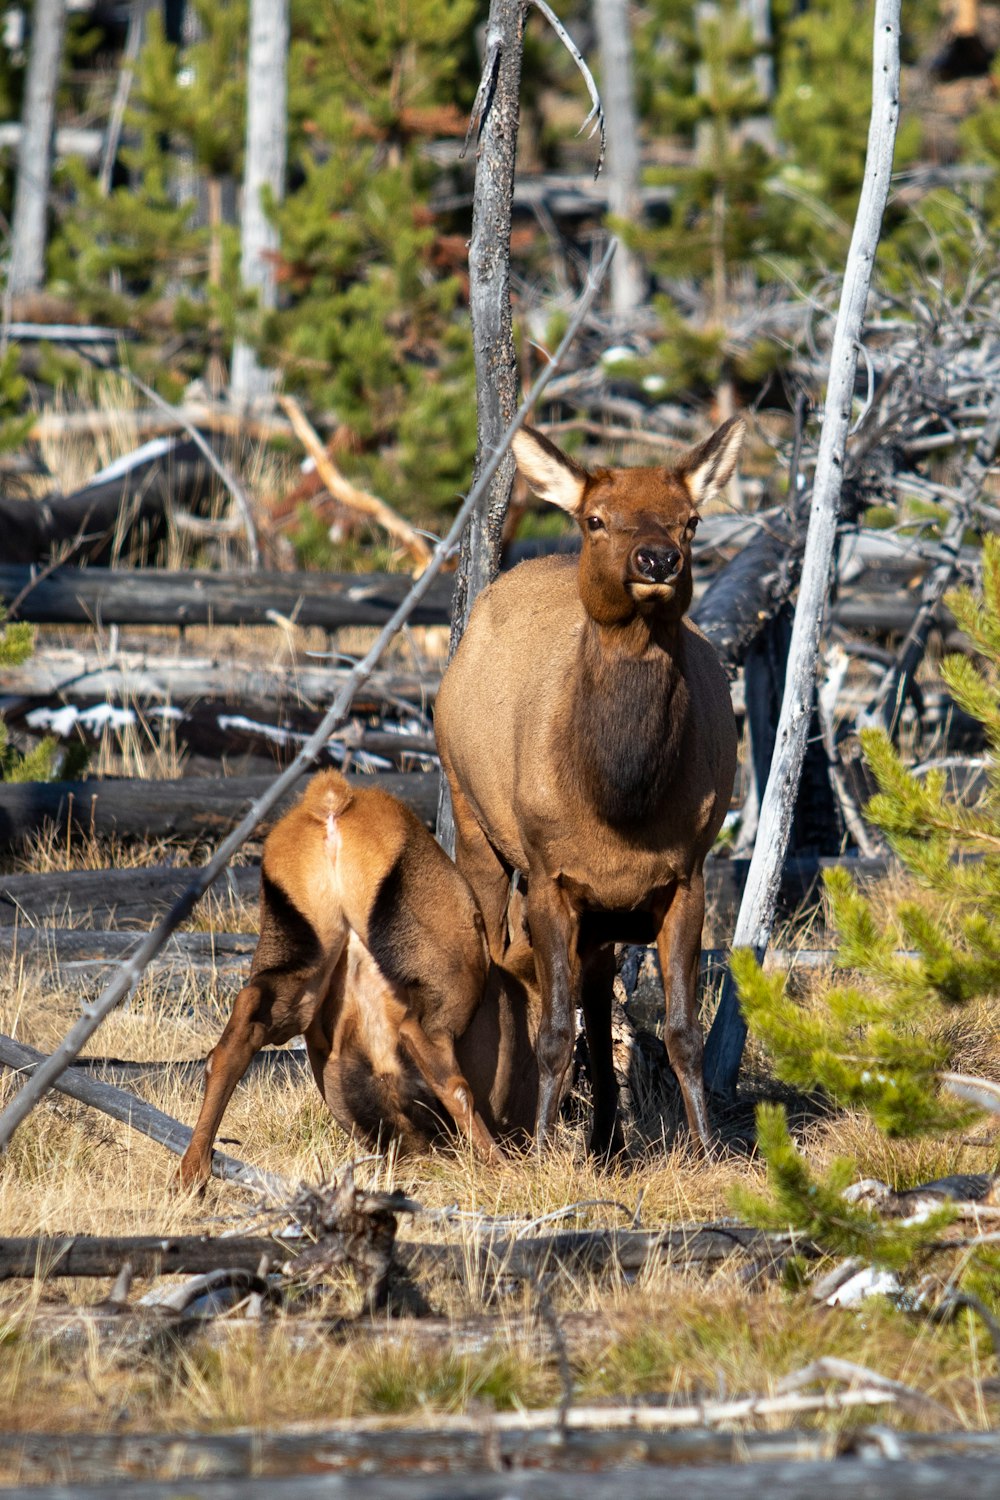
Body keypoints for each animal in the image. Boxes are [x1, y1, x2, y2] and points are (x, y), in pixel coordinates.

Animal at [434, 417, 743, 1152]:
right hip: (472, 818)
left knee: (599, 1004)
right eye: (596, 519)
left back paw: (607, 1141)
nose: (657, 560)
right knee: (498, 957)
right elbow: (552, 1030)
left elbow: (683, 1033)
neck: (620, 801)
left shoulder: (686, 874)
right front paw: (545, 1148)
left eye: (691, 520)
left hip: (604, 912)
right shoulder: (551, 874)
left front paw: (707, 1147)